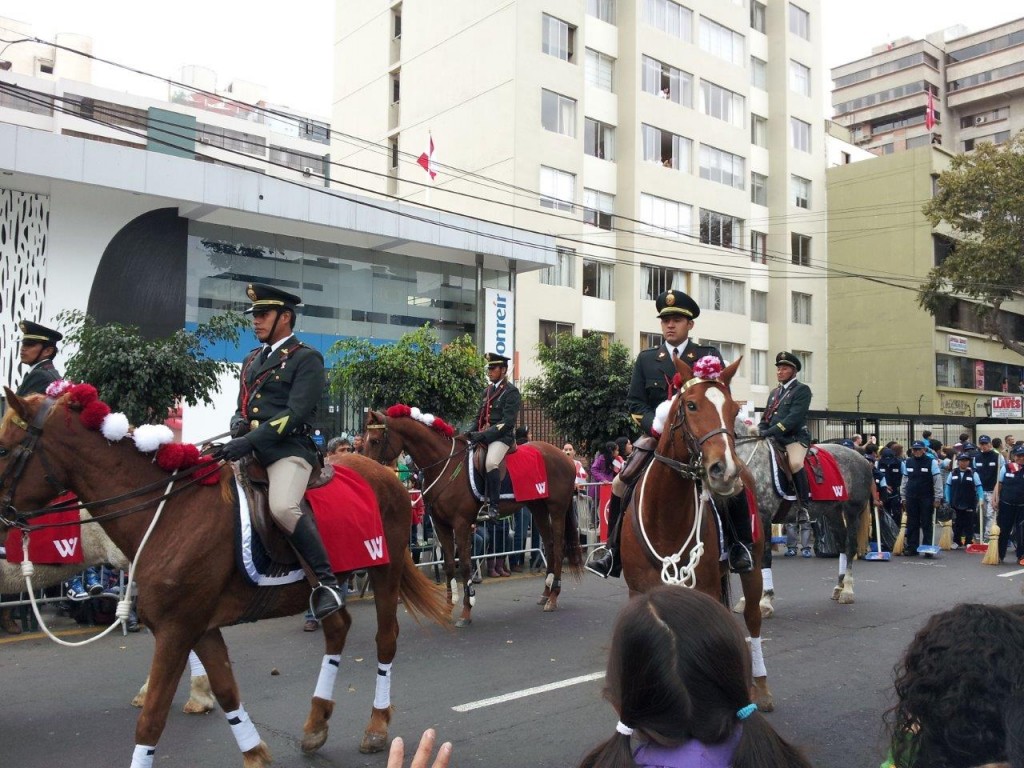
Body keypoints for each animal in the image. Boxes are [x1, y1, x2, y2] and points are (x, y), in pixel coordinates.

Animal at [0, 387, 450, 765]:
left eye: (4, 449)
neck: (169, 511)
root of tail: (386, 475)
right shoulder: (198, 626)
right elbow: (227, 690)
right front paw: (255, 754)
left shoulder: (177, 628)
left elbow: (152, 720)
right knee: (337, 626)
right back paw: (315, 724)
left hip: (385, 571)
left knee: (385, 640)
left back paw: (376, 726)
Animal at [364, 405, 581, 626]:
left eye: (375, 441)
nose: (366, 473)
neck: (445, 465)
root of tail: (566, 457)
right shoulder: (441, 525)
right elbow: (450, 565)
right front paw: (448, 609)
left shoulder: (461, 524)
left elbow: (466, 565)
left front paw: (466, 610)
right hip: (538, 508)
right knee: (550, 545)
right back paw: (546, 593)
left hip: (556, 510)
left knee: (558, 548)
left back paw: (553, 597)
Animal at [618, 358, 770, 712]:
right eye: (690, 405)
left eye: (733, 410)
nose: (724, 471)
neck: (665, 517)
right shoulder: (639, 591)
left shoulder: (705, 587)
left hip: (753, 566)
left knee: (753, 617)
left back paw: (759, 686)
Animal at [733, 421, 868, 606]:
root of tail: (861, 457)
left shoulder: (764, 517)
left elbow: (764, 557)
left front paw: (765, 599)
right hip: (833, 511)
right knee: (841, 545)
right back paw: (839, 587)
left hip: (852, 511)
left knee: (850, 546)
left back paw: (847, 590)